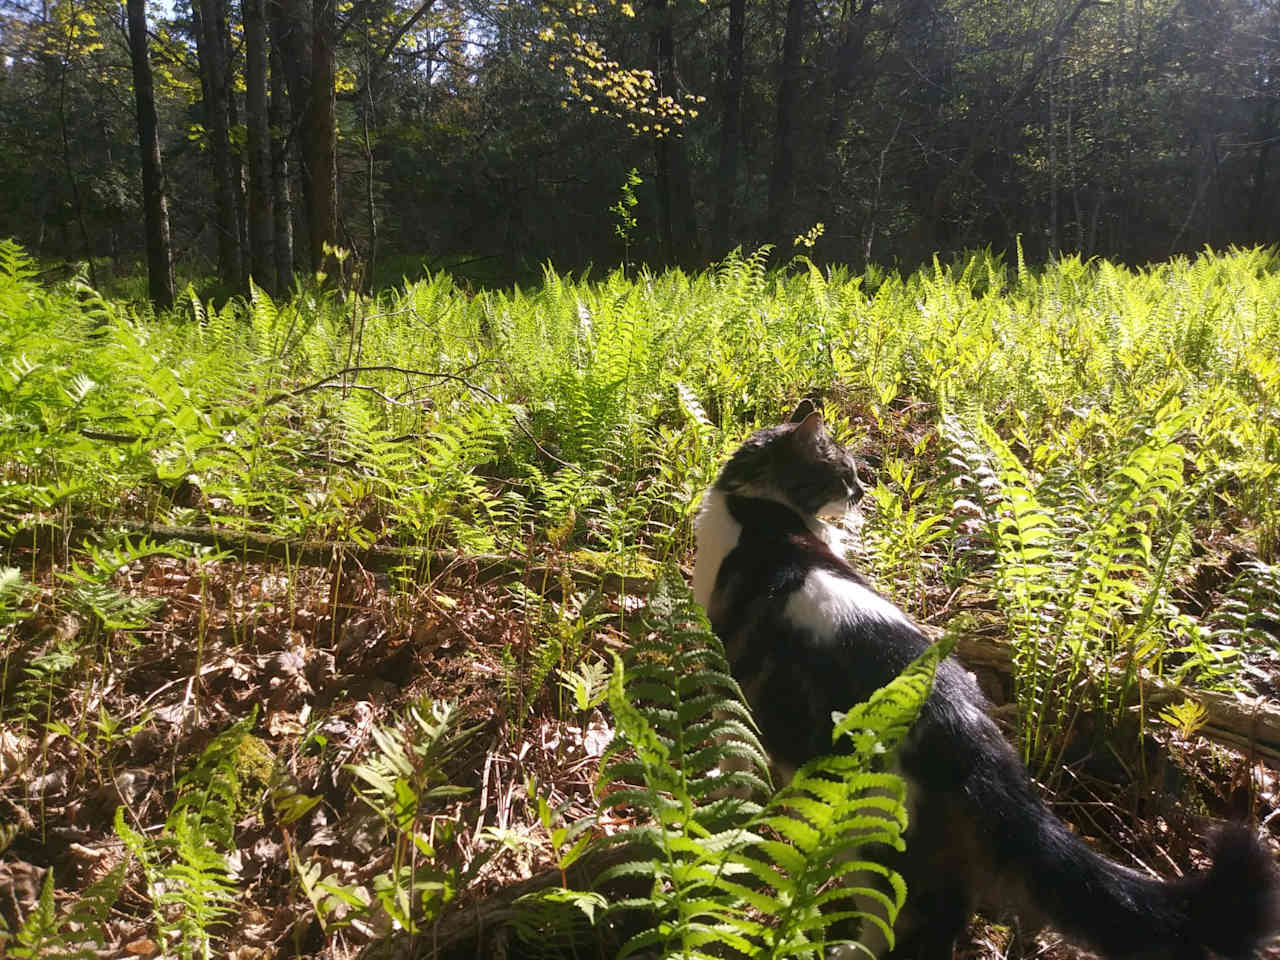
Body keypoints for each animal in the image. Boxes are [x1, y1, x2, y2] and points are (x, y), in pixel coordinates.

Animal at [696, 409, 1274, 960]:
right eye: (846, 474)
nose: (864, 492)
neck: (753, 502)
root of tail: (973, 734)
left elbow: (734, 750)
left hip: (871, 834)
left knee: (897, 917)